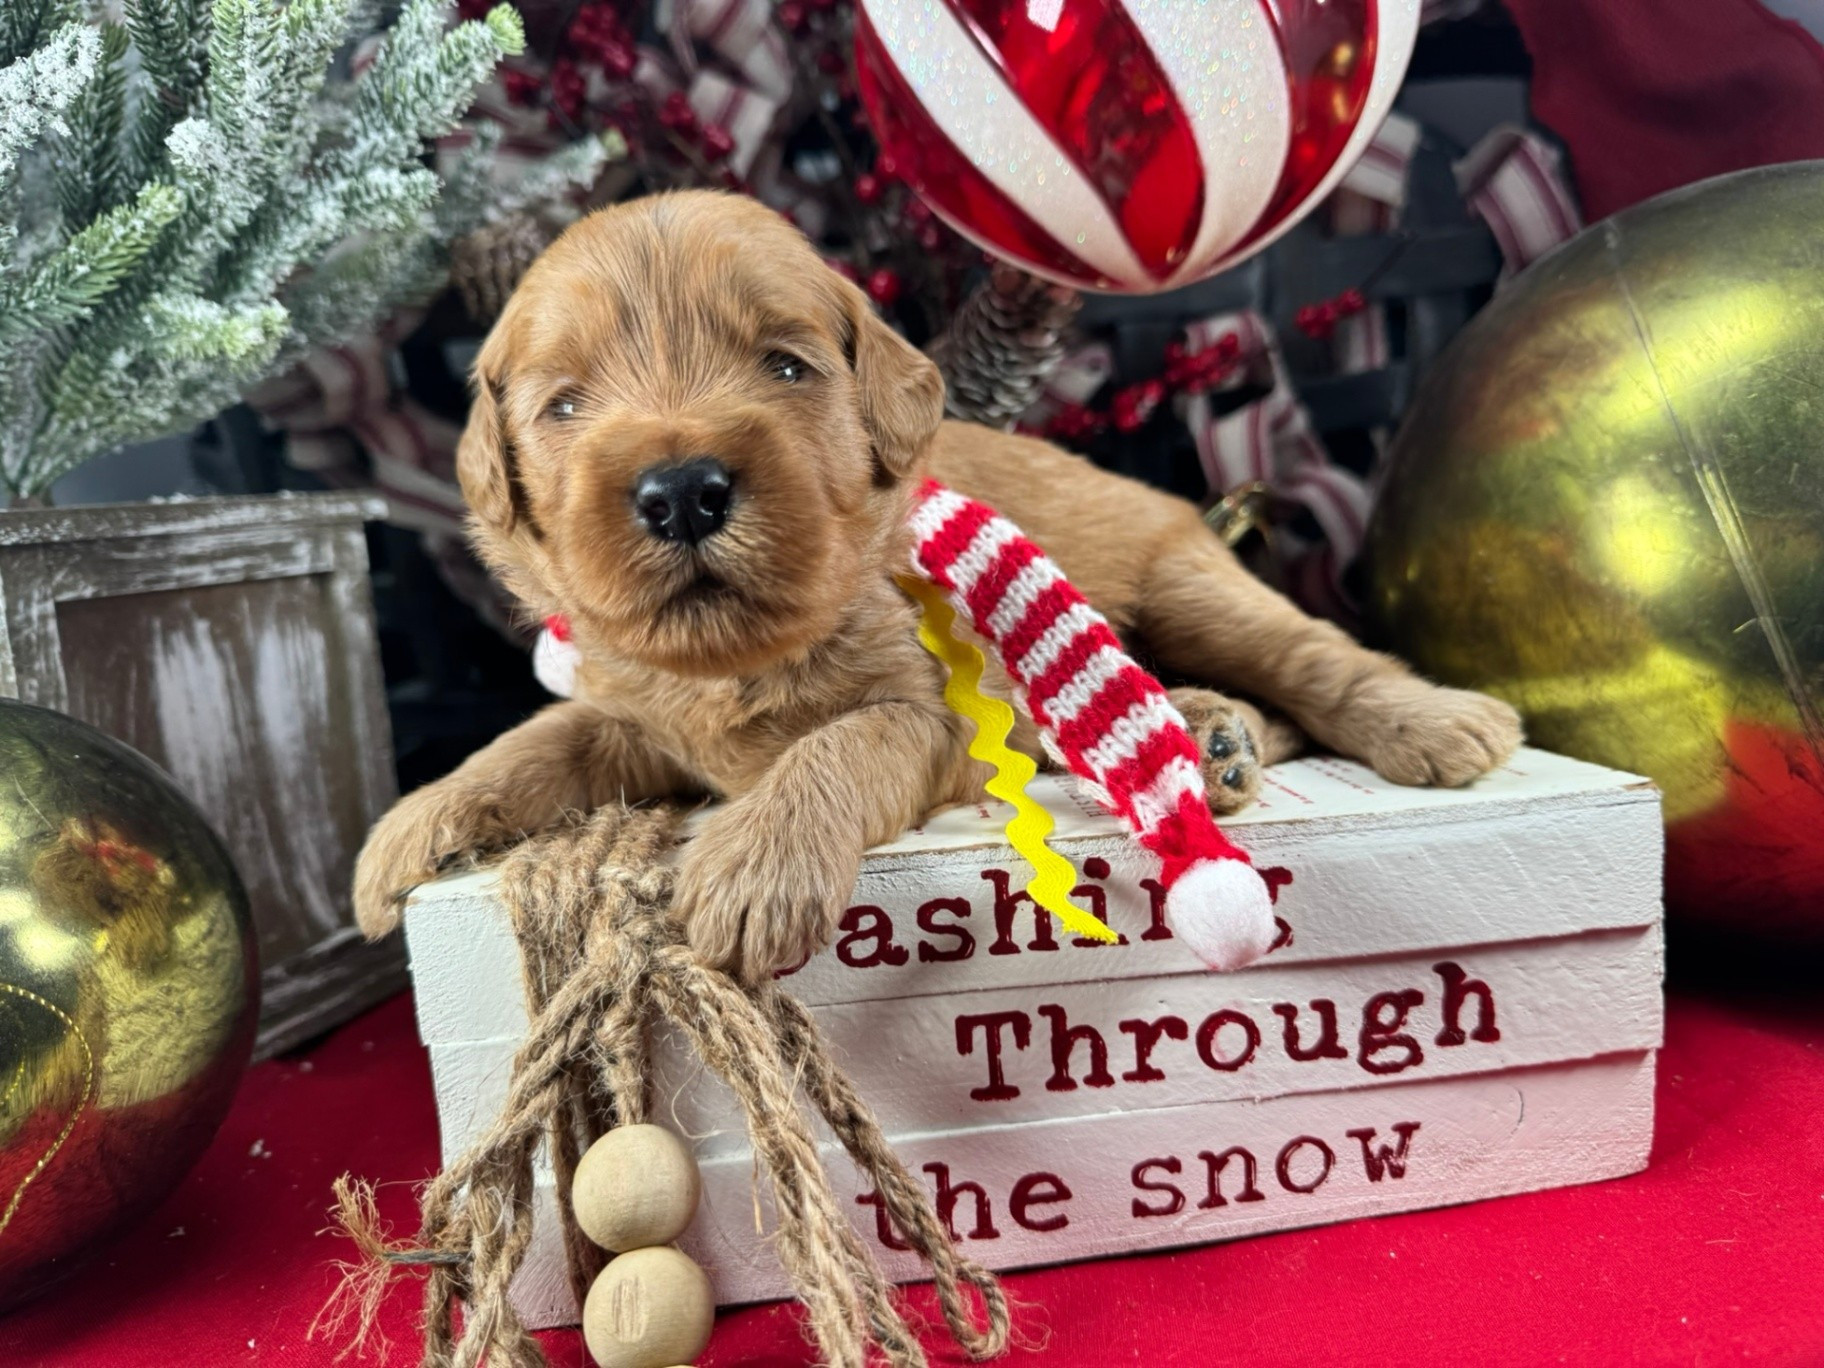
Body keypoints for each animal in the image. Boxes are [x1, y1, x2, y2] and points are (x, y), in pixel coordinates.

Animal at [352, 191, 1522, 982]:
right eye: (564, 406)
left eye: (786, 366)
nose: (682, 491)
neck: (742, 662)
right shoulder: (632, 718)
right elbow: (538, 740)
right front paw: (415, 823)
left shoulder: (942, 716)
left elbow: (843, 741)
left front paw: (758, 862)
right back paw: (1213, 738)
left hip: (1188, 581)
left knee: (1314, 663)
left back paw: (1429, 722)